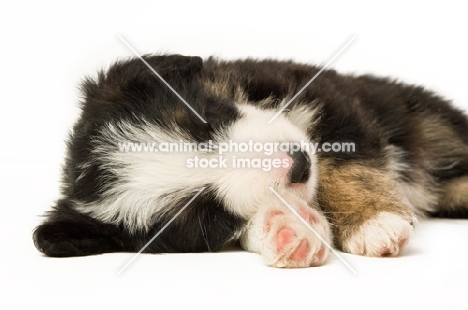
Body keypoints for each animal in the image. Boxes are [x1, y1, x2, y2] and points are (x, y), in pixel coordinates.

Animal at [33, 54, 468, 268]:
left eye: (206, 120)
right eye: (208, 214)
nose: (298, 165)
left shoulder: (328, 95)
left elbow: (345, 161)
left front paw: (371, 222)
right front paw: (287, 229)